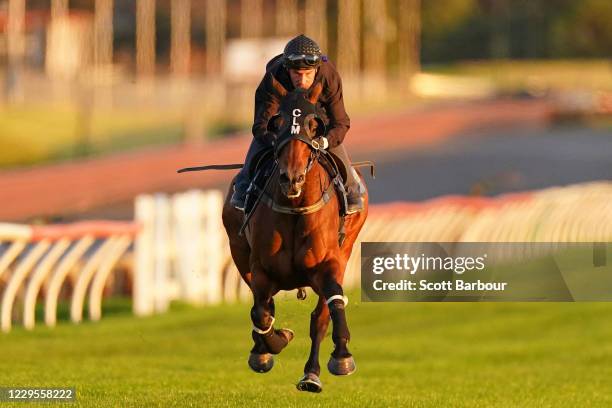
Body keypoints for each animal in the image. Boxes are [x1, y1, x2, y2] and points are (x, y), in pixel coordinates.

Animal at [221, 82, 368, 392]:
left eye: (314, 126)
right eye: (277, 124)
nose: (292, 178)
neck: (295, 206)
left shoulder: (329, 264)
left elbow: (332, 303)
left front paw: (342, 355)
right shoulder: (259, 269)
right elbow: (261, 312)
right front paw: (272, 345)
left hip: (346, 248)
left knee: (319, 317)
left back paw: (312, 374)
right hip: (238, 251)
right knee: (263, 307)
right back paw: (262, 349)